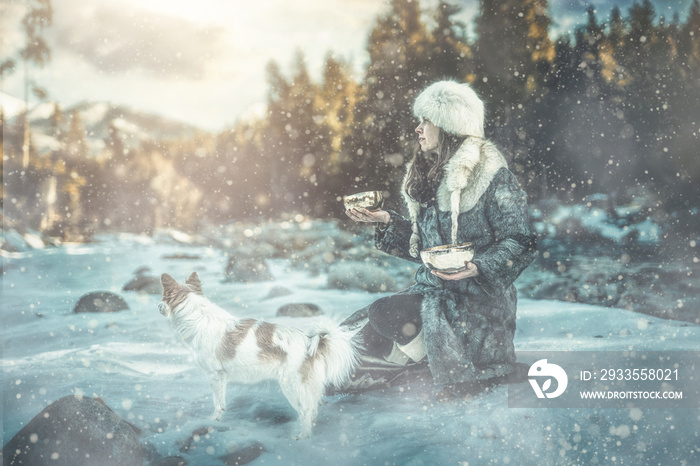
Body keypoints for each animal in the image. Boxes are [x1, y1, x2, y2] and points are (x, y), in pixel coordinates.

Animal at [159, 272, 360, 438]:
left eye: (162, 297)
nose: (158, 305)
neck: (198, 315)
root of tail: (312, 342)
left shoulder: (215, 376)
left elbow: (218, 403)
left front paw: (213, 420)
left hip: (292, 387)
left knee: (306, 412)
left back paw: (302, 438)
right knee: (313, 410)